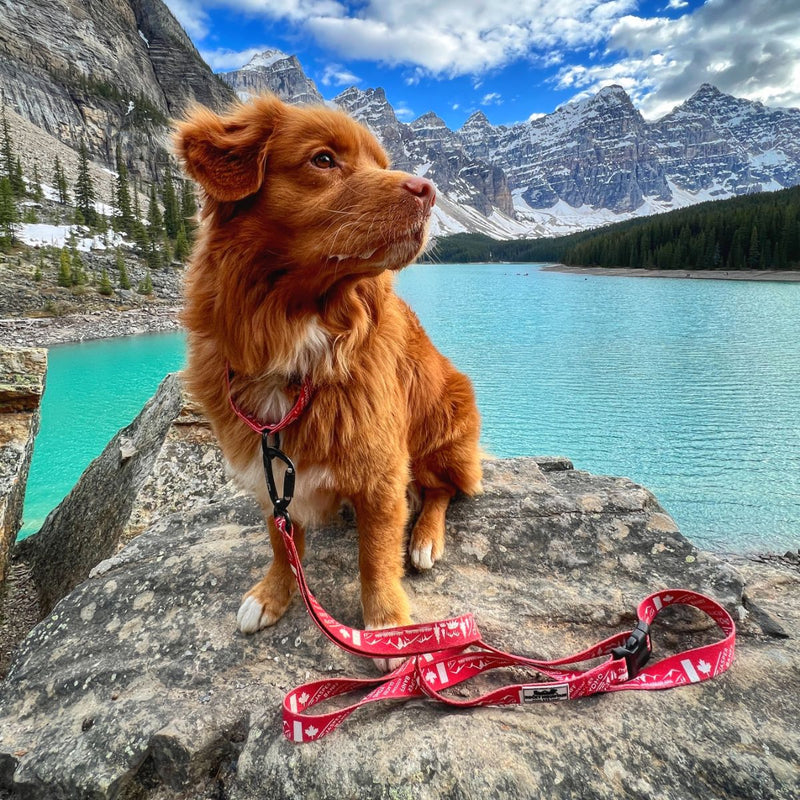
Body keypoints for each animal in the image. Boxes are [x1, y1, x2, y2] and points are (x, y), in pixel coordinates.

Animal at [174, 95, 482, 664]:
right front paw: (273, 593)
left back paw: (425, 537)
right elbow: (281, 540)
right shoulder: (268, 467)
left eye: (382, 163)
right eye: (323, 160)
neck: (300, 336)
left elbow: (375, 556)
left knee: (443, 488)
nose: (429, 191)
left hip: (442, 428)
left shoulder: (382, 468)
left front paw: (387, 625)